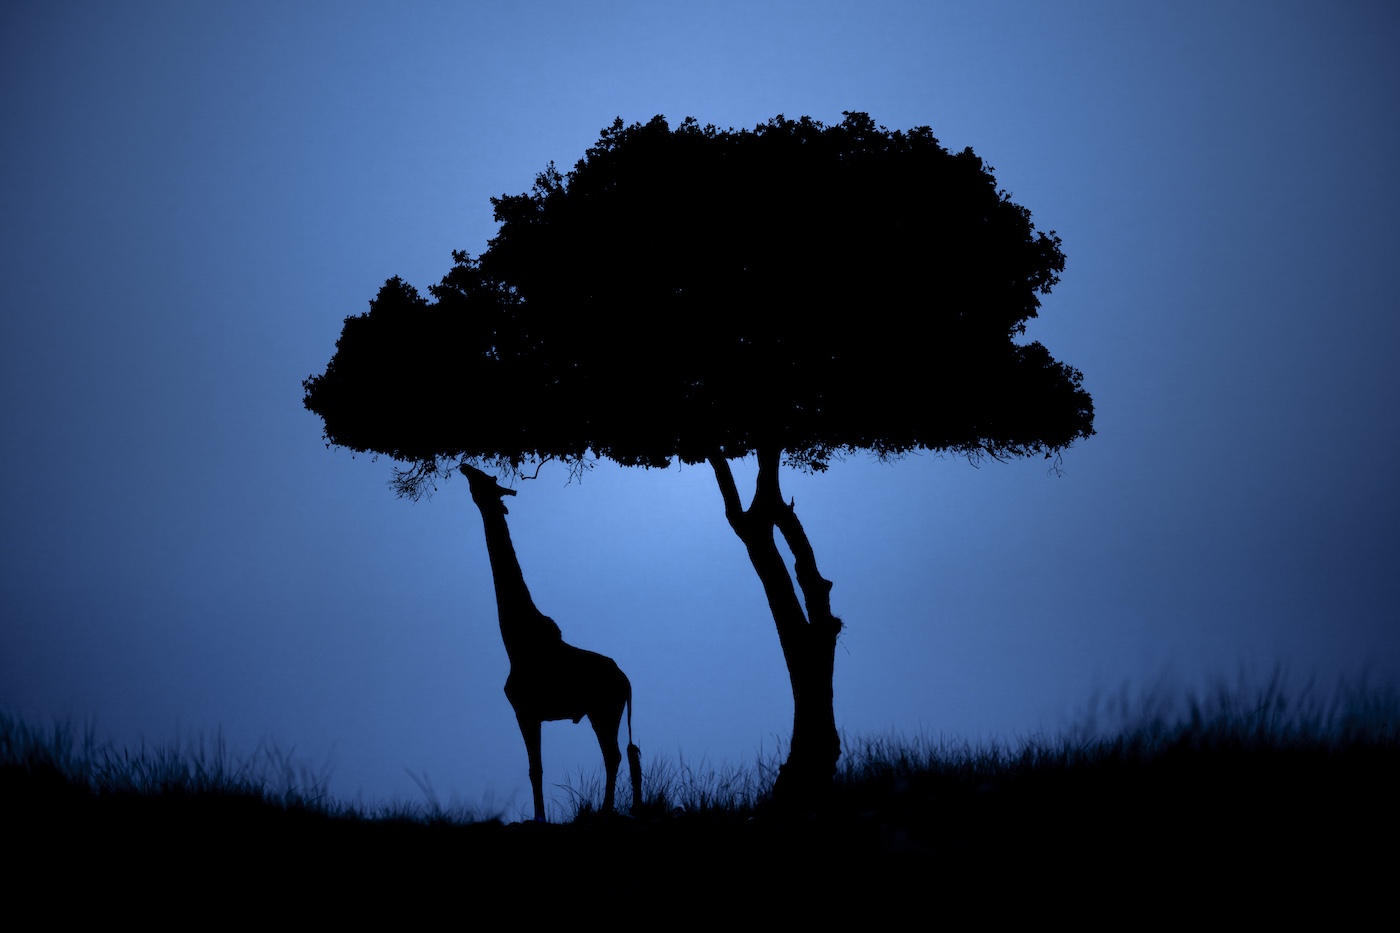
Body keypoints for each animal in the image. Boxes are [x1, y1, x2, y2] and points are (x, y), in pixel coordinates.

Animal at [460, 463, 642, 822]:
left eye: (486, 480)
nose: (464, 466)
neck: (517, 642)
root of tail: (625, 680)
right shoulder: (531, 713)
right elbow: (536, 768)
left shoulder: (525, 710)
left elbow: (535, 769)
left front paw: (539, 818)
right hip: (606, 710)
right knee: (620, 754)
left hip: (604, 709)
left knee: (612, 755)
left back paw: (604, 811)